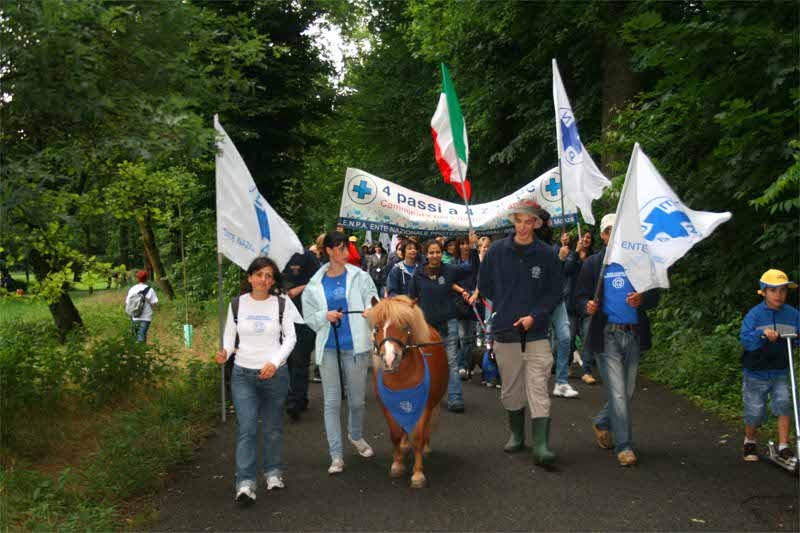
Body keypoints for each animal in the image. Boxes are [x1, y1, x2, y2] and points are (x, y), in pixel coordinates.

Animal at [368, 296, 450, 486]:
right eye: (377, 328)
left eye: (405, 327)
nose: (390, 359)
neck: (402, 379)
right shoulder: (388, 406)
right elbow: (395, 435)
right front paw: (397, 465)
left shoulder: (424, 407)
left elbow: (418, 438)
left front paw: (418, 475)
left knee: (426, 428)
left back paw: (426, 447)